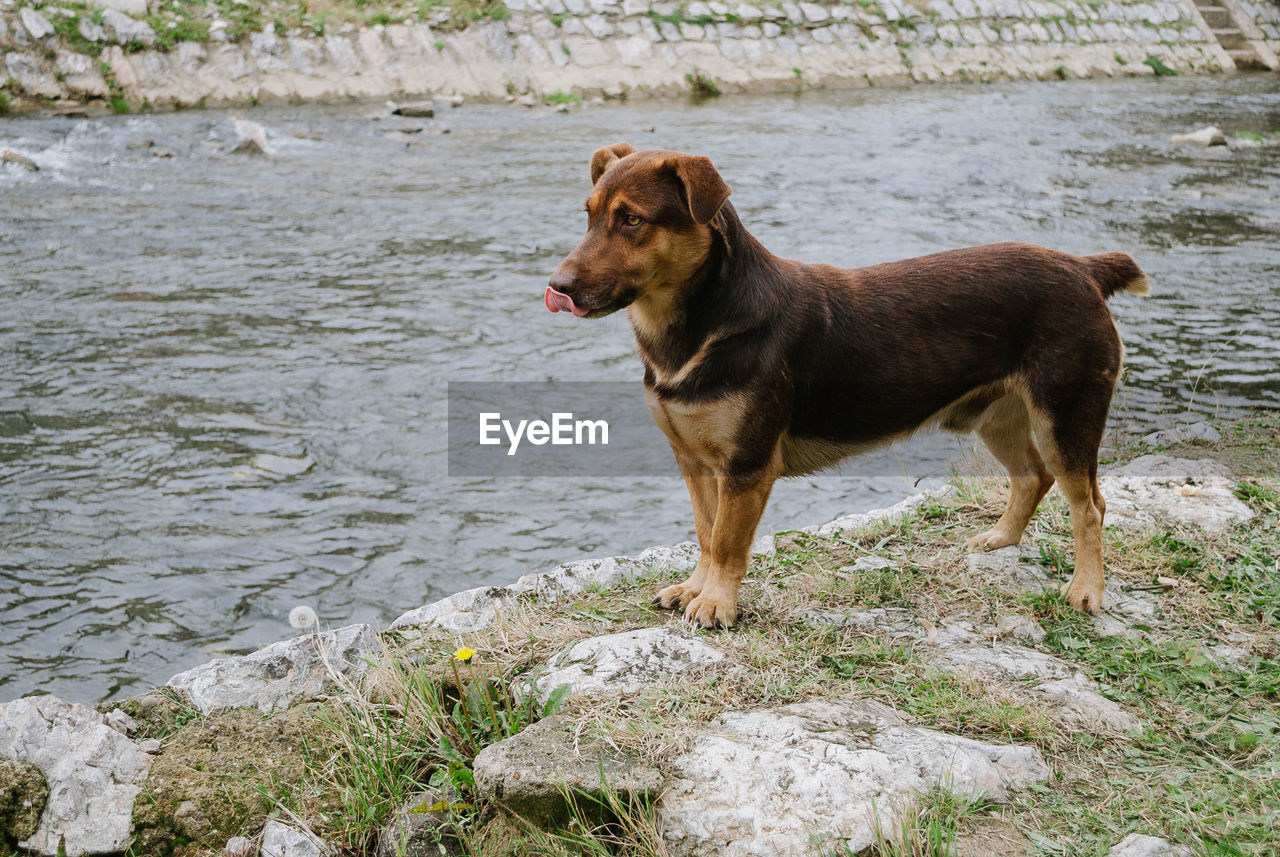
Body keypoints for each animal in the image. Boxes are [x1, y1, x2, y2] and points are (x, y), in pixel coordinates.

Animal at [545, 144, 1146, 631]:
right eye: (589, 216)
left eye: (632, 220)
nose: (558, 287)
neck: (696, 326)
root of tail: (1085, 268)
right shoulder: (693, 460)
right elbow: (704, 531)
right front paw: (695, 588)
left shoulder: (746, 466)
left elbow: (727, 542)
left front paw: (715, 603)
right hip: (997, 417)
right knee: (1032, 477)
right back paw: (1001, 539)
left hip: (1065, 417)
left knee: (1089, 506)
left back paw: (1087, 590)